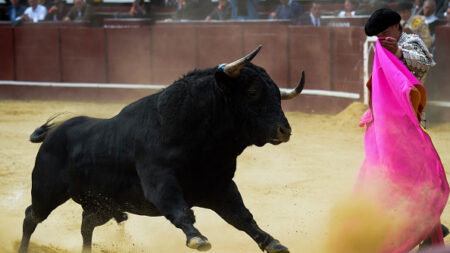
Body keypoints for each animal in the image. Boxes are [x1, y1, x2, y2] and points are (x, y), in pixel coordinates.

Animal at [18, 45, 306, 253]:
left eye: (278, 95)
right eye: (253, 92)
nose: (285, 130)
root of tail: (53, 133)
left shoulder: (220, 186)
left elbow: (242, 217)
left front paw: (272, 242)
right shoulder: (159, 180)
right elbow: (179, 209)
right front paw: (197, 238)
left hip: (102, 205)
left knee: (86, 224)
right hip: (47, 192)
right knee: (31, 217)